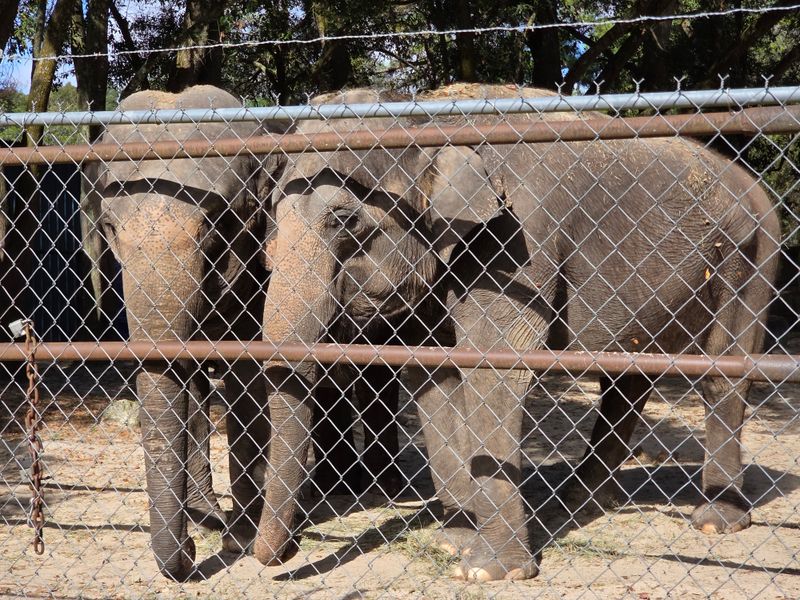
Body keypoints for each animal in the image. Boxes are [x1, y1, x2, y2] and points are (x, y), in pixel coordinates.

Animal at [251, 84, 779, 582]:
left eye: (344, 220)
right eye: (273, 218)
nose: (286, 551)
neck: (427, 116)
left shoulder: (516, 241)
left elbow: (495, 372)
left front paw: (487, 570)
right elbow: (432, 381)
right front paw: (456, 543)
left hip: (752, 253)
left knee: (723, 371)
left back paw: (714, 518)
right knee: (627, 376)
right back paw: (578, 499)